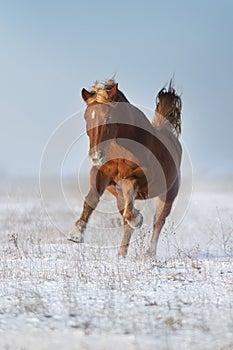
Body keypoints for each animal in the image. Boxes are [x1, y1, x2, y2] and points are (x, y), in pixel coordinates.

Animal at [67, 79, 182, 256]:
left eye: (108, 117)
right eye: (86, 117)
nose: (95, 155)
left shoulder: (140, 178)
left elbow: (128, 190)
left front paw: (138, 218)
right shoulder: (99, 173)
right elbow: (91, 200)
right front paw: (76, 234)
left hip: (167, 195)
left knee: (158, 221)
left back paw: (149, 253)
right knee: (127, 223)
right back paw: (121, 254)